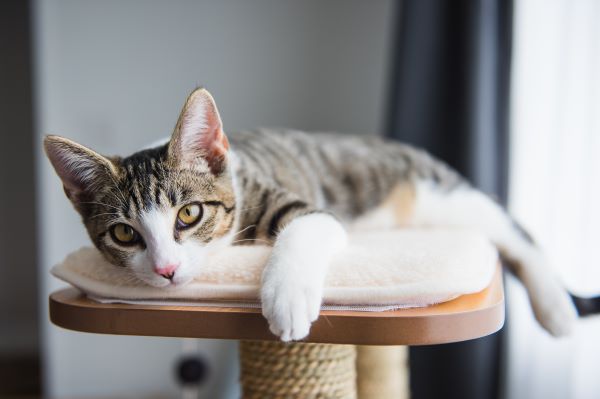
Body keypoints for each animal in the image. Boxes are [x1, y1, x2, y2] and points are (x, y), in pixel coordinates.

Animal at [42, 86, 576, 340]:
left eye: (189, 214)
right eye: (125, 235)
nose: (167, 270)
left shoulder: (294, 201)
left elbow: (307, 227)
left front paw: (287, 298)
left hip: (437, 196)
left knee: (511, 230)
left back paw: (556, 308)